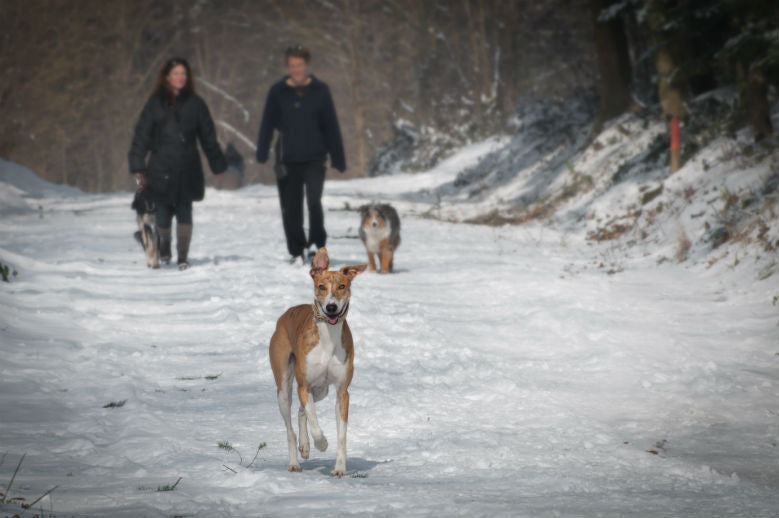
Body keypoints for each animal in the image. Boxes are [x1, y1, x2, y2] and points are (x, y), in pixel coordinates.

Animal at [268, 249, 366, 480]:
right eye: (321, 286)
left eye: (342, 286)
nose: (331, 307)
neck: (328, 337)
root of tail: (286, 314)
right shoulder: (304, 385)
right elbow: (314, 421)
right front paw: (321, 443)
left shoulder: (341, 392)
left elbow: (341, 434)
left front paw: (339, 468)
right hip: (284, 387)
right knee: (291, 427)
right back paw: (295, 461)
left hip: (322, 389)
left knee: (301, 411)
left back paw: (305, 446)